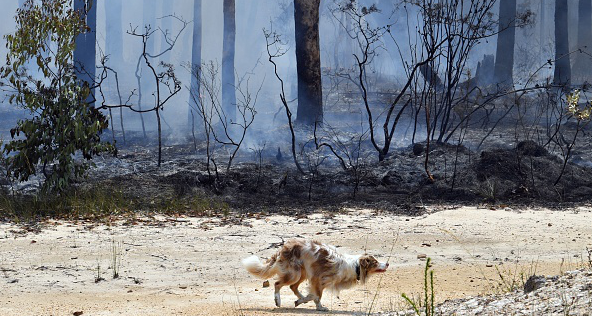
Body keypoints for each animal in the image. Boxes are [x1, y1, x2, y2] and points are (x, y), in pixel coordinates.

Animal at [242, 239, 388, 312]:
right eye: (375, 262)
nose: (387, 263)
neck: (355, 266)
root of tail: (283, 247)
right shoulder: (318, 279)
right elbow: (317, 296)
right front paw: (320, 307)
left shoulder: (319, 281)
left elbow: (313, 295)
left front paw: (303, 301)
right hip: (294, 273)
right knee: (277, 284)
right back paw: (278, 300)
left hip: (302, 273)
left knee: (293, 287)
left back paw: (300, 298)